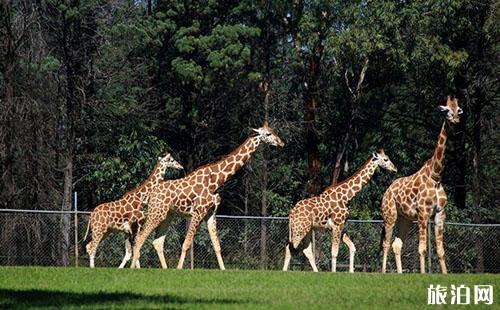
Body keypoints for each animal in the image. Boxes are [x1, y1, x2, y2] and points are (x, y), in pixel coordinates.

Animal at [130, 121, 286, 268]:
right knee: (140, 238)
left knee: (157, 242)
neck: (216, 181)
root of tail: (151, 194)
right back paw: (132, 268)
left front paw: (223, 270)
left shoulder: (211, 213)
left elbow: (217, 246)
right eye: (268, 134)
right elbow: (186, 244)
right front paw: (179, 269)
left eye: (274, 131)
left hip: (167, 215)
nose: (281, 143)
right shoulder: (198, 212)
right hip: (156, 213)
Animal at [380, 96, 462, 274]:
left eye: (458, 110)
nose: (455, 120)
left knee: (397, 245)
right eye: (446, 110)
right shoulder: (423, 213)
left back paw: (399, 274)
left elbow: (440, 250)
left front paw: (445, 274)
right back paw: (382, 273)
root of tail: (387, 191)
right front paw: (423, 274)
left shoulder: (440, 213)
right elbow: (422, 249)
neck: (436, 176)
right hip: (390, 215)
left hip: (404, 219)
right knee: (386, 243)